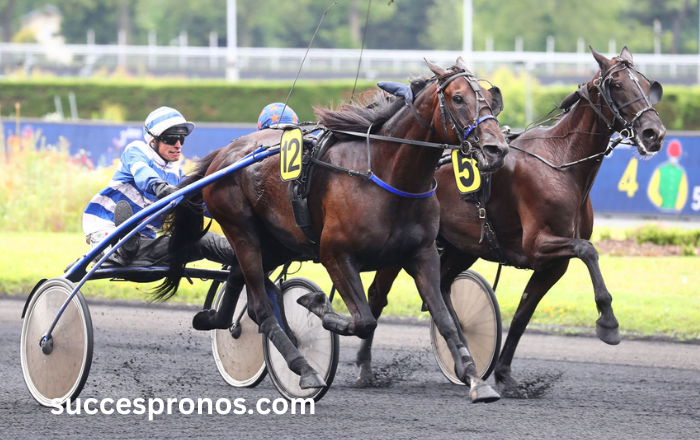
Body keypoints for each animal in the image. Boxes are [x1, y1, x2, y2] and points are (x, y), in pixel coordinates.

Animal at [157, 57, 508, 402]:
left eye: (489, 98)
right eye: (458, 98)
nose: (497, 149)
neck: (386, 175)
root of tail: (224, 154)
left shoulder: (422, 254)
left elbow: (445, 319)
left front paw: (476, 378)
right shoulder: (335, 254)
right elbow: (364, 320)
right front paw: (316, 304)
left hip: (278, 241)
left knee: (238, 278)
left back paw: (215, 319)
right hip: (241, 230)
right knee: (260, 306)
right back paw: (304, 369)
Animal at [360, 46, 668, 390]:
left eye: (646, 84)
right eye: (616, 84)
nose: (653, 133)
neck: (560, 163)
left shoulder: (553, 264)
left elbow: (523, 314)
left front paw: (505, 373)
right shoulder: (538, 244)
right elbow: (589, 251)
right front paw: (608, 322)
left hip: (461, 248)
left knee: (441, 286)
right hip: (403, 246)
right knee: (378, 296)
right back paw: (365, 368)